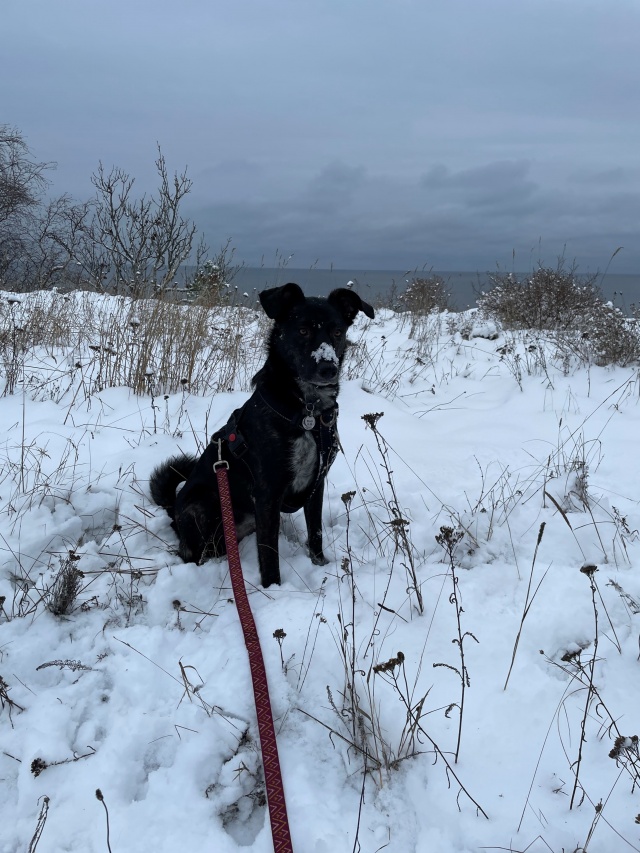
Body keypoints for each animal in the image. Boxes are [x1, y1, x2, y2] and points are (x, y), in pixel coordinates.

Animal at [149, 282, 375, 587]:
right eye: (303, 330)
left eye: (337, 332)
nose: (328, 368)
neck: (307, 411)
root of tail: (172, 509)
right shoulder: (267, 494)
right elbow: (269, 554)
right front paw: (274, 588)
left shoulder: (315, 485)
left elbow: (315, 533)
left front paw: (320, 564)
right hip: (201, 503)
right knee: (191, 552)